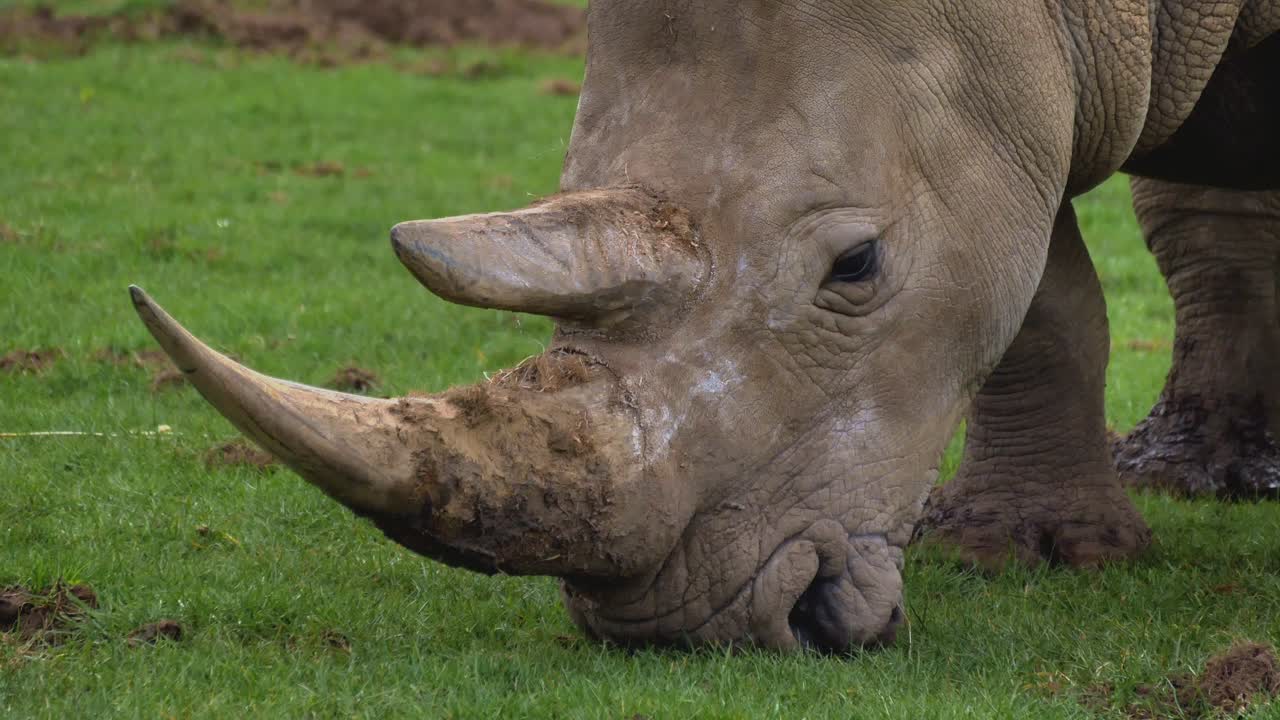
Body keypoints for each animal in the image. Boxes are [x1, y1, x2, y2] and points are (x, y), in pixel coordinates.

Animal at [130, 1, 1280, 652]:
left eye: (855, 266)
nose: (682, 627)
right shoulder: (1004, 103)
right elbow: (1039, 295)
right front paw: (1020, 555)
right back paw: (1193, 476)